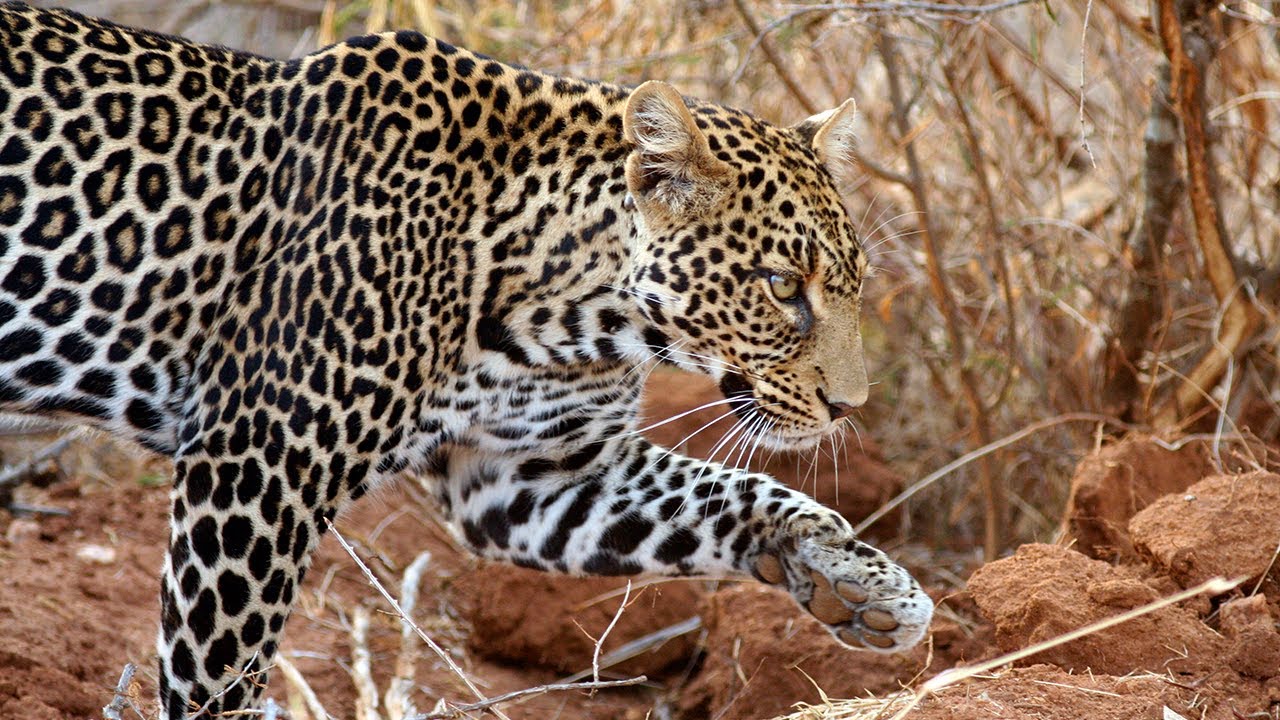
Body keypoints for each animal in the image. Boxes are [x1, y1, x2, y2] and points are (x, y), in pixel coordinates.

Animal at [0, 2, 934, 716]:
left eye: (851, 285)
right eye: (780, 285)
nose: (850, 407)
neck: (568, 307)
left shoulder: (539, 478)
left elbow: (731, 491)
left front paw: (860, 579)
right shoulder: (257, 466)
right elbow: (216, 672)